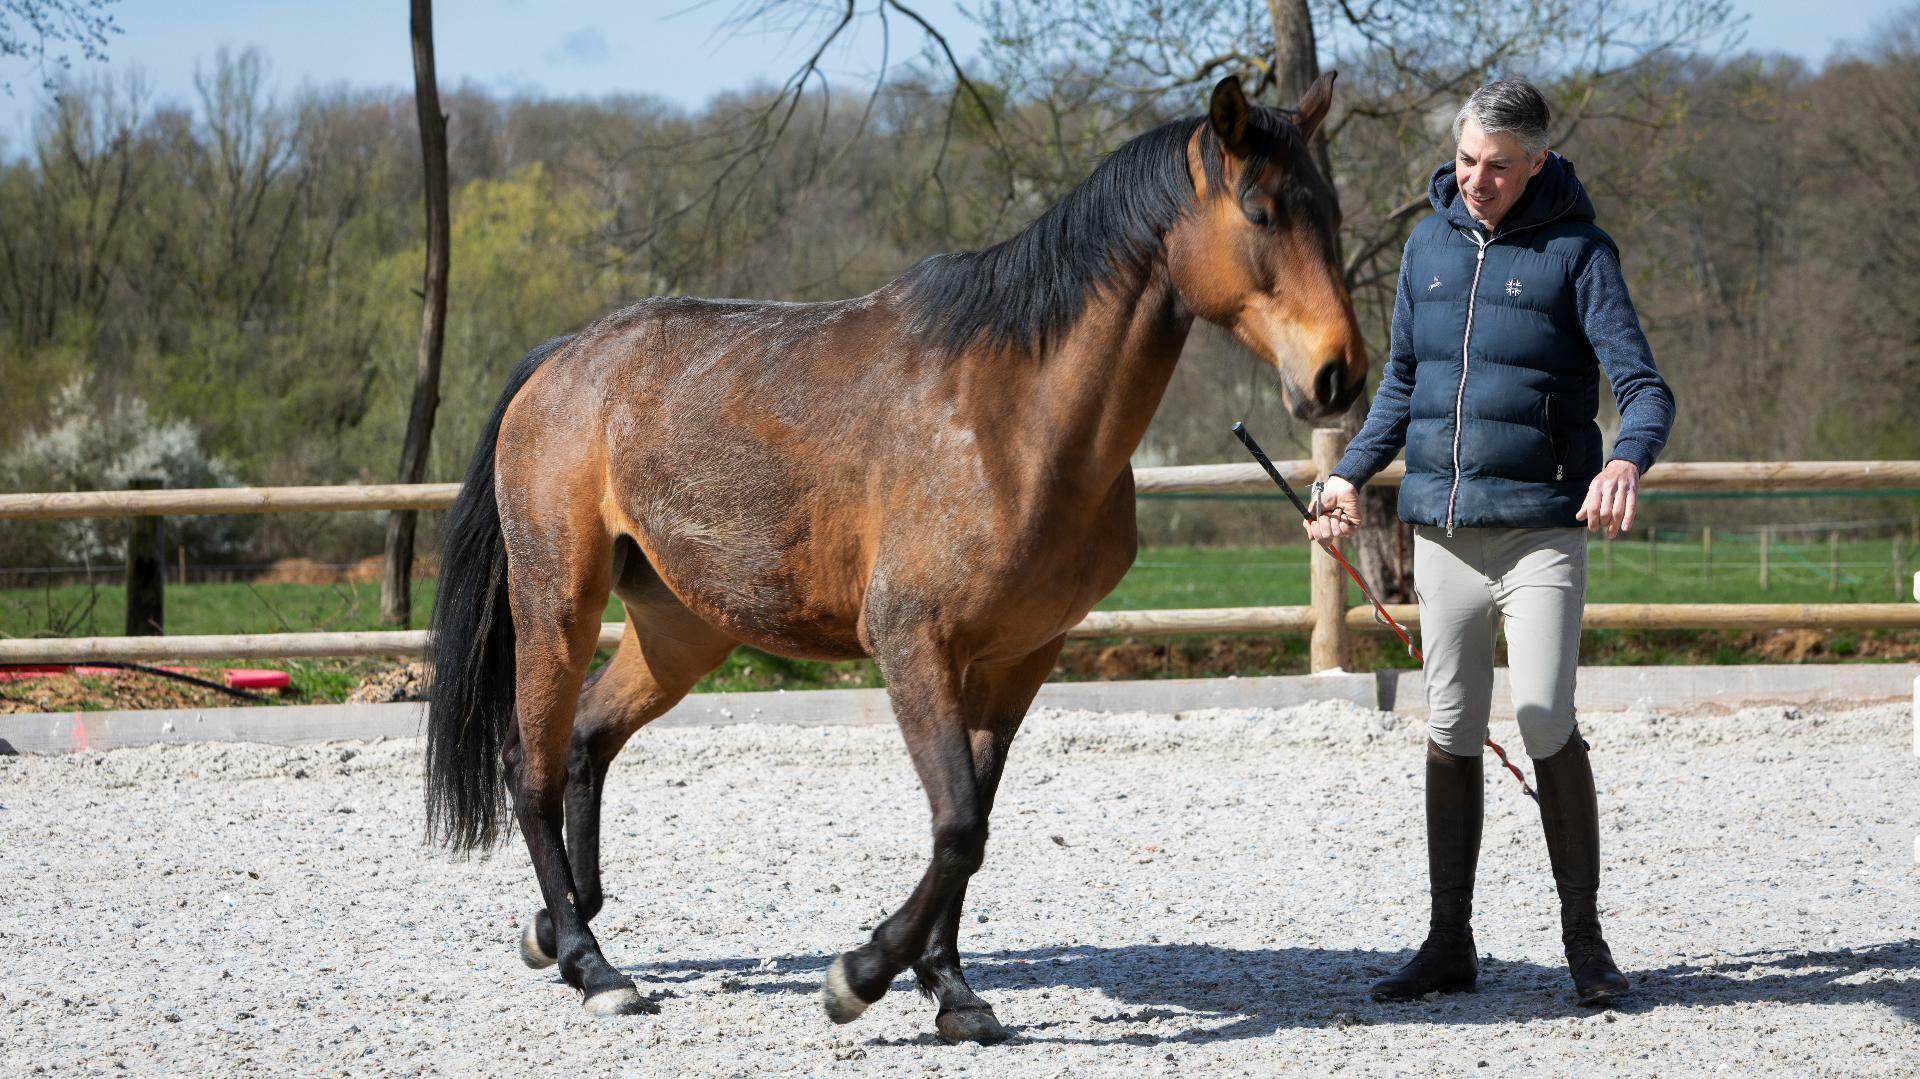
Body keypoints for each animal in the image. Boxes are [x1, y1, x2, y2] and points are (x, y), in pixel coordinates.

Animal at [423, 73, 1365, 1043]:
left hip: (681, 631)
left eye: (1331, 212)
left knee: (584, 742)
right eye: (1260, 211)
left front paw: (952, 988)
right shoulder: (915, 643)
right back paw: (590, 961)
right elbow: (956, 825)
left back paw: (558, 923)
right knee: (529, 765)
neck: (1015, 420)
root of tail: (565, 358)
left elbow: (974, 822)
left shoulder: (1018, 659)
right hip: (558, 600)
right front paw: (862, 974)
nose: (1339, 375)